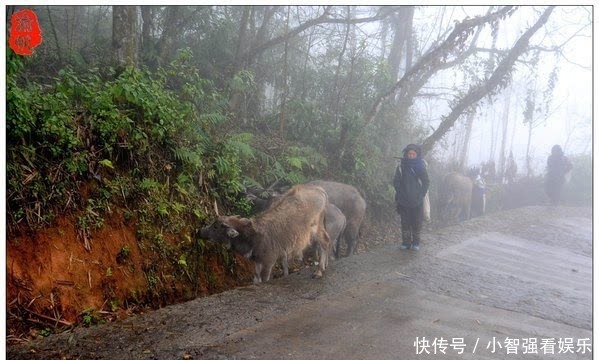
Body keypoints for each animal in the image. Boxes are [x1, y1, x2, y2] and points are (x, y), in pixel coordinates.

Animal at [202, 184, 332, 282]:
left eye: (216, 227)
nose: (201, 231)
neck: (252, 236)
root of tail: (320, 190)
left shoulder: (269, 262)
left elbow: (264, 279)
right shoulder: (258, 262)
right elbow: (257, 279)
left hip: (315, 228)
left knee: (325, 241)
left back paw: (319, 271)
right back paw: (325, 265)